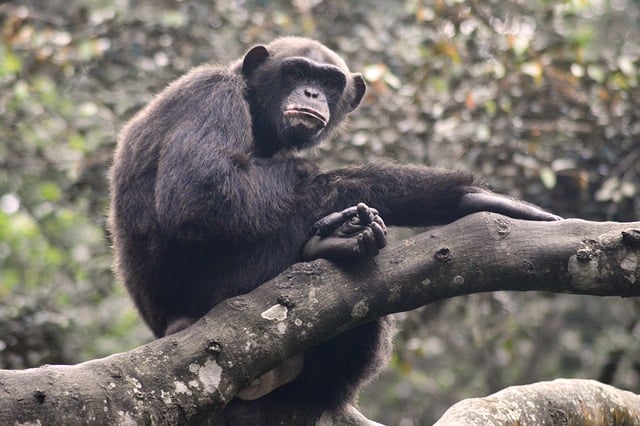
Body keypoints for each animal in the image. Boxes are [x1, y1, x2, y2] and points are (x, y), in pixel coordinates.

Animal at [110, 37, 560, 426]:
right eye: (295, 72)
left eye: (328, 81)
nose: (311, 93)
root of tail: (170, 327)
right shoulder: (211, 96)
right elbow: (203, 194)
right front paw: (460, 196)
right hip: (221, 291)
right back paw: (328, 242)